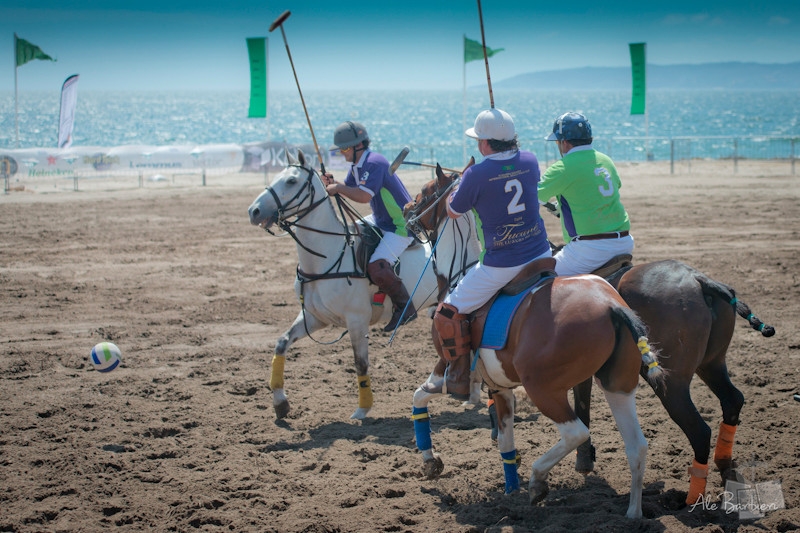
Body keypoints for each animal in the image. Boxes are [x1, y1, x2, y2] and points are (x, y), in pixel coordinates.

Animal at [247, 150, 440, 420]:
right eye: (275, 176)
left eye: (291, 181)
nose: (253, 211)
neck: (327, 256)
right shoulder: (315, 317)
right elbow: (282, 342)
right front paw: (280, 402)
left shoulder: (357, 319)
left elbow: (360, 363)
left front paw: (363, 408)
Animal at [403, 164, 665, 519]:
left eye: (426, 191)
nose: (407, 212)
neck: (461, 272)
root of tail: (613, 306)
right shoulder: (499, 386)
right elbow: (505, 442)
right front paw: (508, 489)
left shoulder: (446, 367)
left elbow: (418, 397)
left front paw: (431, 462)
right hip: (618, 384)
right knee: (637, 445)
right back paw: (633, 513)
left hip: (543, 387)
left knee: (576, 432)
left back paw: (538, 481)